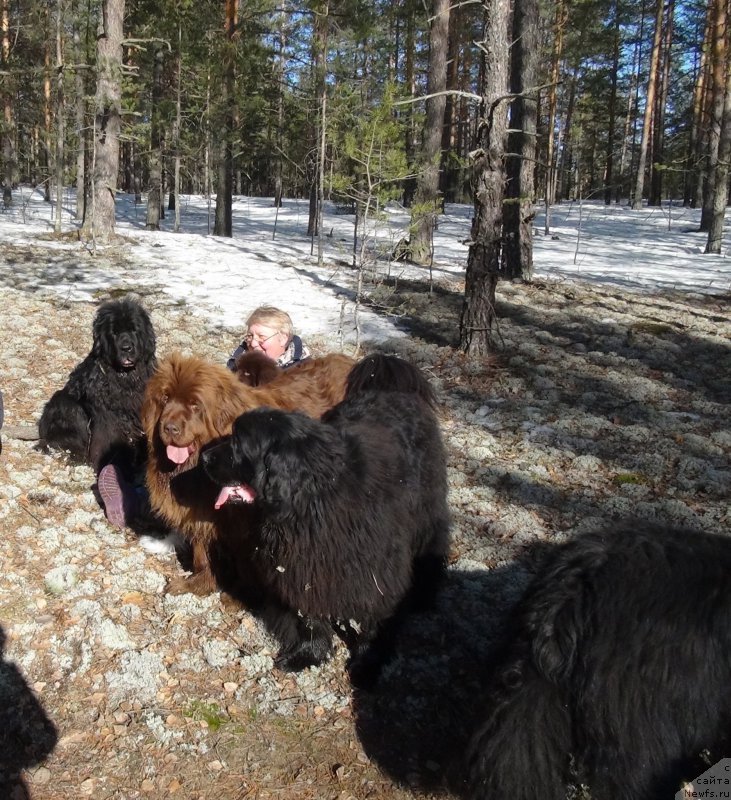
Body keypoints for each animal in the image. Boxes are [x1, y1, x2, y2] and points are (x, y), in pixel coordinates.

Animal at [38, 296, 156, 476]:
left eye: (134, 330)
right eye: (114, 333)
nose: (126, 348)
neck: (125, 377)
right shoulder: (106, 416)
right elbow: (109, 439)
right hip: (65, 403)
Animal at [142, 354, 356, 596]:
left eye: (195, 405)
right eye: (165, 399)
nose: (170, 428)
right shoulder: (200, 511)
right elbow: (201, 552)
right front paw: (197, 583)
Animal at [202, 354, 452, 684]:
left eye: (238, 444)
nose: (204, 457)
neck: (310, 501)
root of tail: (393, 389)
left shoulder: (373, 572)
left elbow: (372, 620)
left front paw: (368, 664)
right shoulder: (303, 568)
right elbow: (309, 617)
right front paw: (308, 655)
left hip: (427, 509)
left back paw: (424, 595)